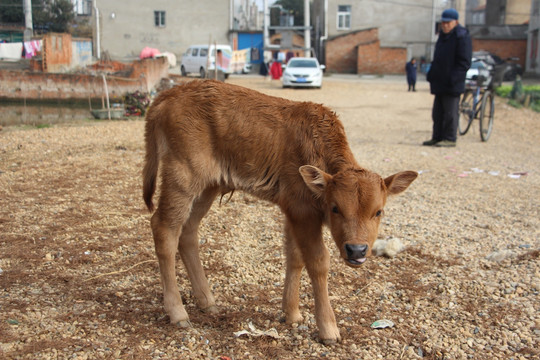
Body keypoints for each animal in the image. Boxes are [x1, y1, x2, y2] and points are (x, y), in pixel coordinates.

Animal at [143, 80, 418, 344]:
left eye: (379, 212)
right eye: (335, 208)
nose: (357, 250)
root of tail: (167, 96)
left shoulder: (293, 212)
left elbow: (294, 256)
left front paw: (292, 313)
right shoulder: (303, 211)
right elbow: (318, 261)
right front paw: (328, 329)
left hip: (207, 186)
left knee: (188, 231)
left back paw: (207, 301)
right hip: (182, 177)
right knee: (164, 228)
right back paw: (178, 312)